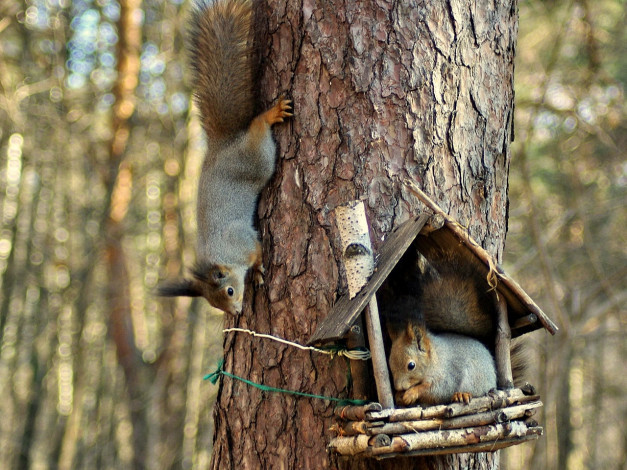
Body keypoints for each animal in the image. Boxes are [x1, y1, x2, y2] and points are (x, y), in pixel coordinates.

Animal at [159, 0, 292, 316]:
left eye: (230, 290)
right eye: (213, 303)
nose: (237, 313)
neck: (223, 255)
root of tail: (223, 144)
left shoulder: (243, 241)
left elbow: (257, 252)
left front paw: (257, 271)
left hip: (256, 159)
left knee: (257, 127)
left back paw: (270, 114)